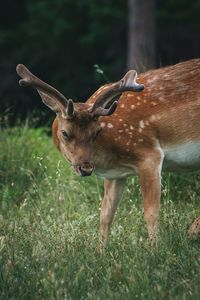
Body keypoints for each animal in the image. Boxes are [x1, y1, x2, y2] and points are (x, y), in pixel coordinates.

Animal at [16, 59, 200, 248]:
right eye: (65, 133)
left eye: (97, 131)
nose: (86, 168)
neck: (110, 158)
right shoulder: (115, 175)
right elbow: (105, 215)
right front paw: (100, 251)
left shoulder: (150, 155)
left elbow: (151, 212)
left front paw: (155, 249)